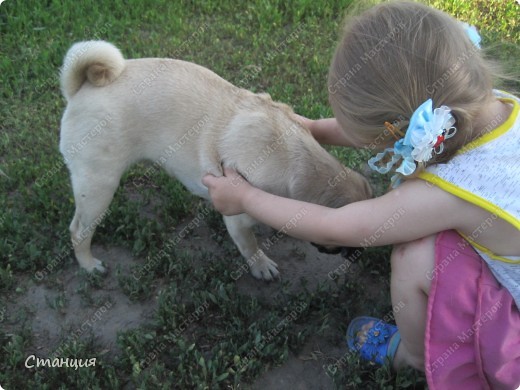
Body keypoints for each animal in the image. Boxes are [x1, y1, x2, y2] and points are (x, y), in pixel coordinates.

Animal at [59, 40, 372, 280]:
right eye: (345, 242)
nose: (360, 255)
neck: (299, 161)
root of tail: (81, 88)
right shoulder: (238, 216)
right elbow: (249, 245)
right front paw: (261, 266)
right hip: (98, 186)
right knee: (78, 230)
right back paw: (89, 265)